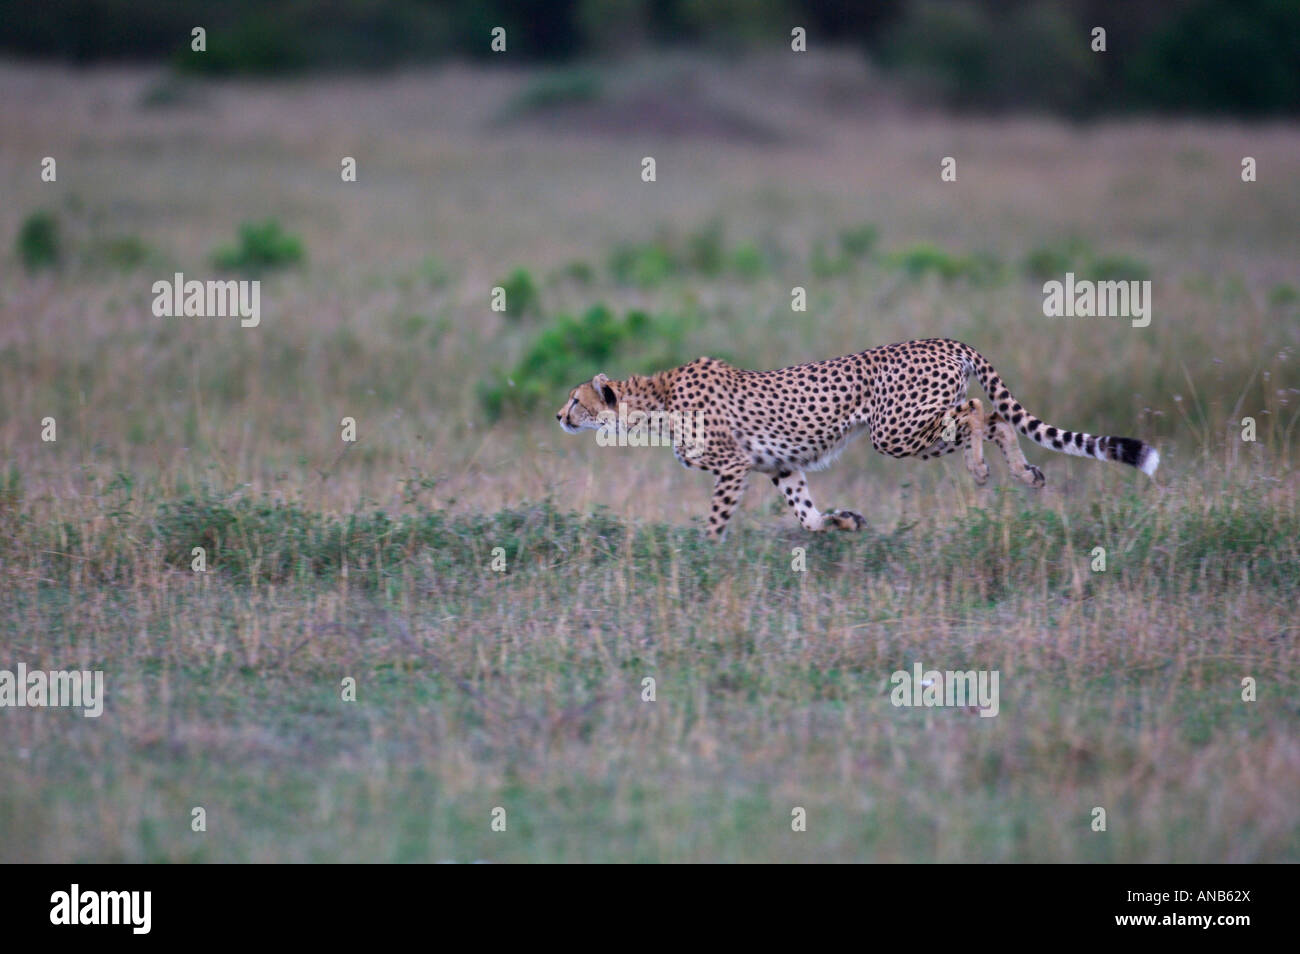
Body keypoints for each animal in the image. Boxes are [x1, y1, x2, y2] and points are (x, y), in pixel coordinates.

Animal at [553, 340, 1164, 540]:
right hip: (908, 431)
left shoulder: (733, 467)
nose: (559, 416)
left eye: (576, 400)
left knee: (974, 411)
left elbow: (716, 521)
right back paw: (1022, 472)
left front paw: (707, 558)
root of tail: (943, 340)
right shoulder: (778, 466)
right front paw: (843, 522)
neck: (654, 402)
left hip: (895, 431)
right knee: (996, 418)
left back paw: (982, 470)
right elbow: (806, 514)